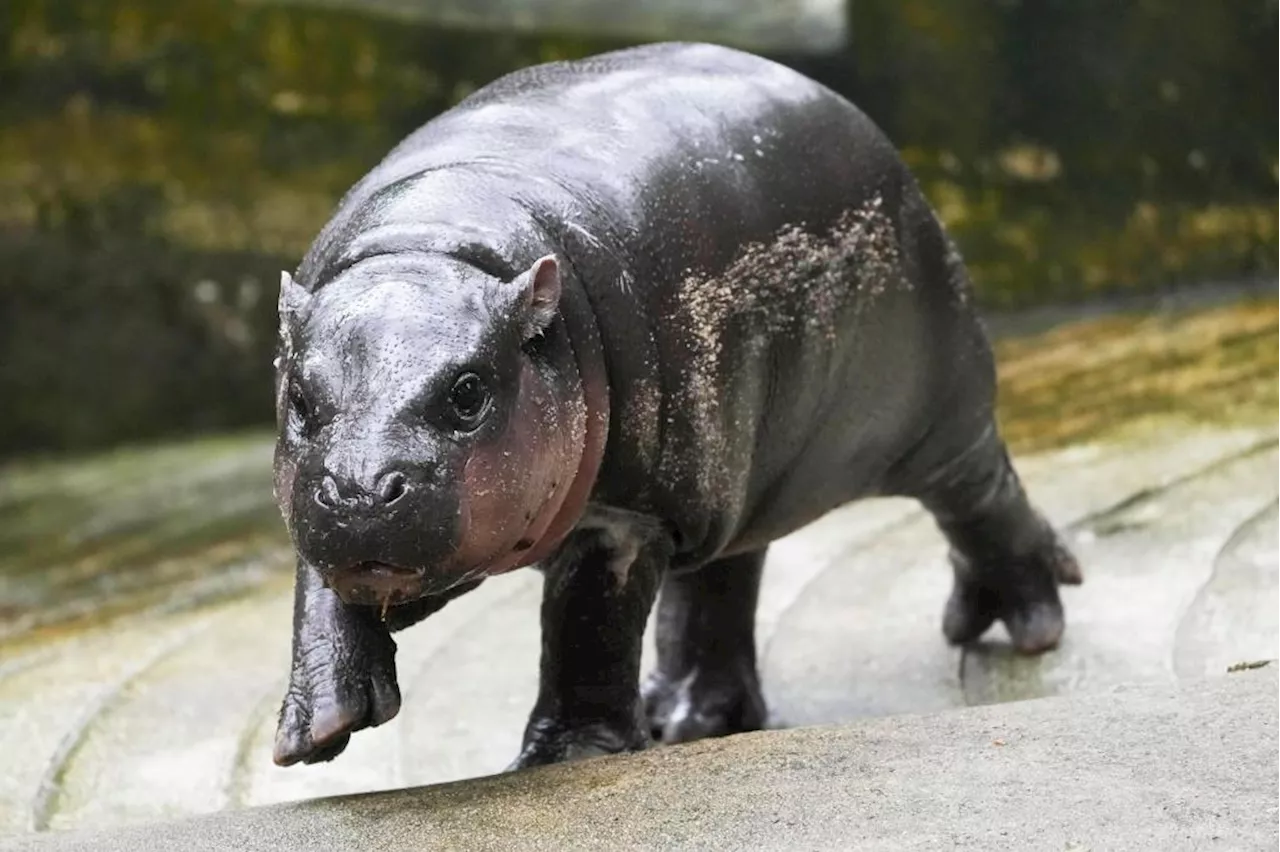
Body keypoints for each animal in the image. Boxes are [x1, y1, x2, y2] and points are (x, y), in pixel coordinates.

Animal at [270, 43, 1080, 767]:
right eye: (300, 396)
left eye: (469, 392)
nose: (361, 492)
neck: (432, 247)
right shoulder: (315, 500)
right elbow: (318, 590)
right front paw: (317, 730)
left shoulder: (630, 513)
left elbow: (589, 629)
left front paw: (567, 758)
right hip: (737, 474)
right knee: (721, 582)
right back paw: (688, 717)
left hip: (934, 415)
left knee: (981, 495)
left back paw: (1023, 625)